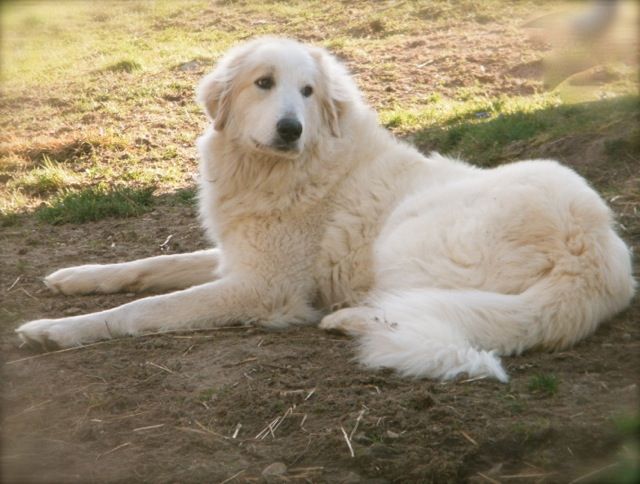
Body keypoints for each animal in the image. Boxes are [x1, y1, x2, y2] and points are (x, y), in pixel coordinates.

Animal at [16, 36, 636, 382]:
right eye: (264, 84)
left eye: (309, 92)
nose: (291, 128)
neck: (283, 169)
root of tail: (596, 254)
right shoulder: (238, 255)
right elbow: (149, 266)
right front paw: (75, 277)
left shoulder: (262, 287)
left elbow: (143, 310)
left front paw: (55, 330)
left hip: (403, 238)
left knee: (426, 311)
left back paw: (346, 319)